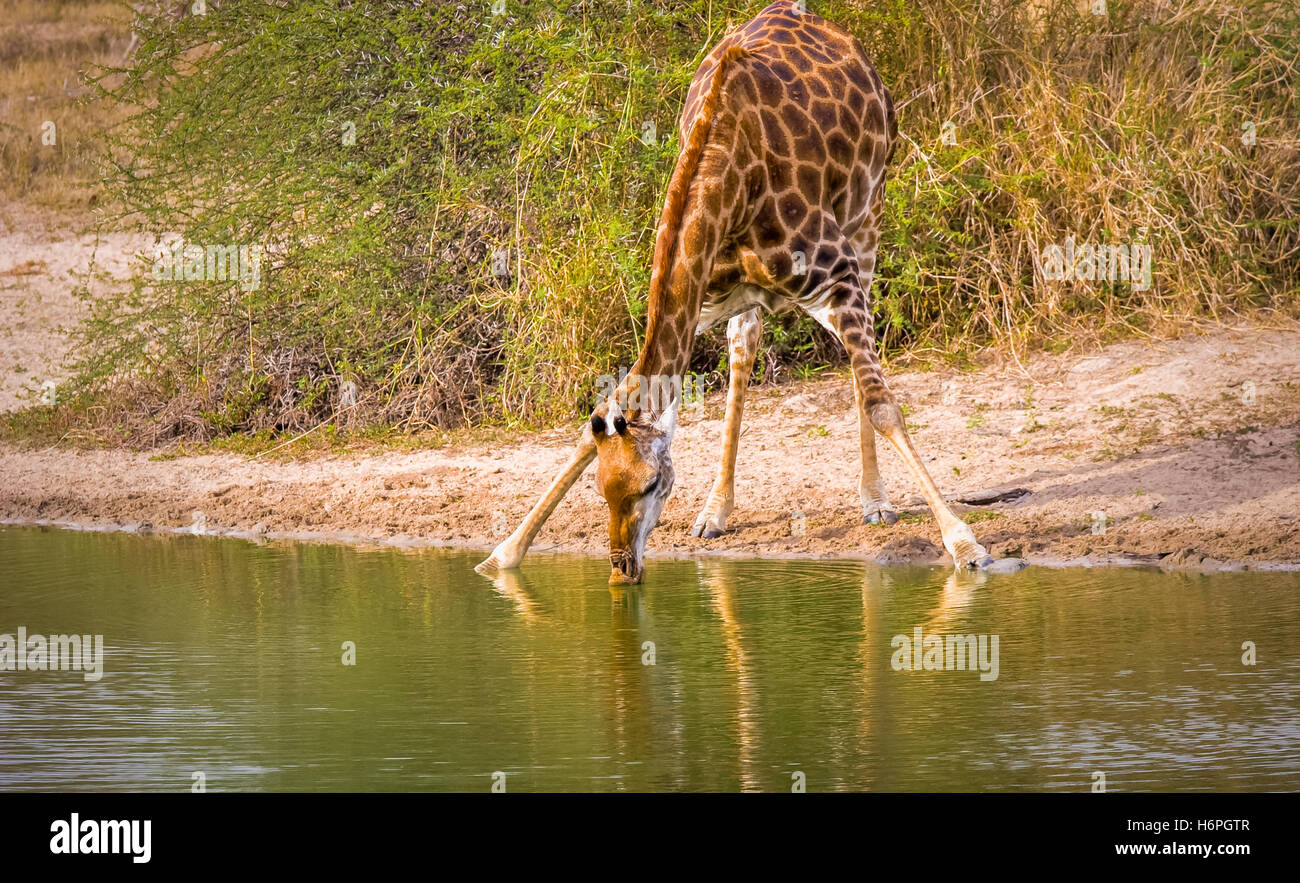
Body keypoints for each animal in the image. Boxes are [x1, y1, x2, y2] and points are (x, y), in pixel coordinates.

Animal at [478, 1, 993, 587]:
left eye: (651, 484)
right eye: (602, 489)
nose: (622, 569)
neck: (729, 174)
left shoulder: (836, 273)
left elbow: (882, 404)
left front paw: (965, 544)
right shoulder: (702, 295)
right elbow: (604, 415)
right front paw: (502, 556)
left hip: (869, 217)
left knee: (860, 370)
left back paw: (875, 503)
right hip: (762, 292)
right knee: (745, 346)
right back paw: (715, 512)